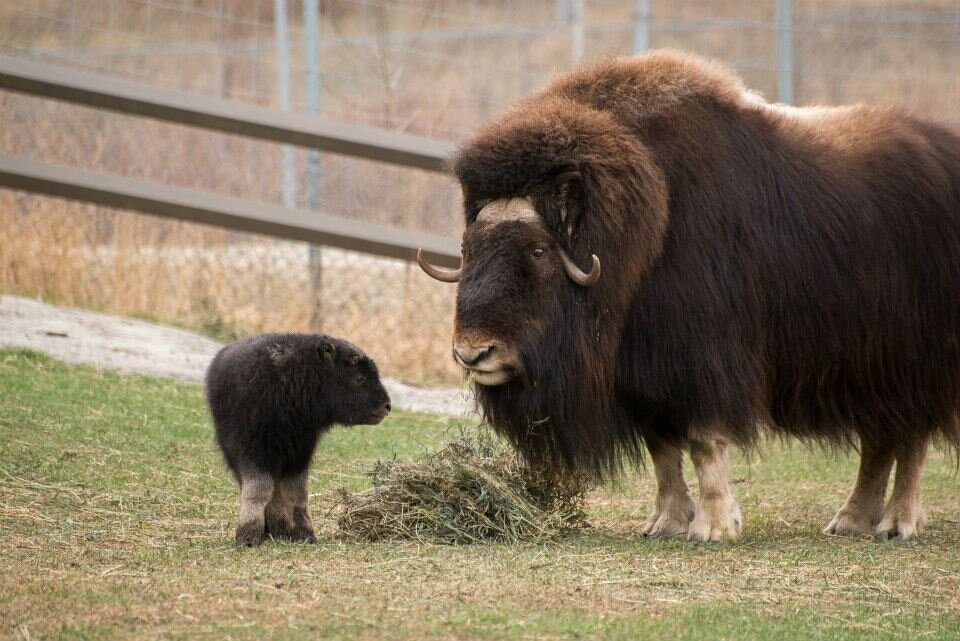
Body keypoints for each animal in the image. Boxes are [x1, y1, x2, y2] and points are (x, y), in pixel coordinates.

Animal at [206, 332, 390, 548]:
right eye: (359, 377)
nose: (387, 406)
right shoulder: (253, 451)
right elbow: (260, 489)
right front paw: (248, 536)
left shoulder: (300, 452)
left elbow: (296, 492)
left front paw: (304, 534)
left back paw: (280, 529)